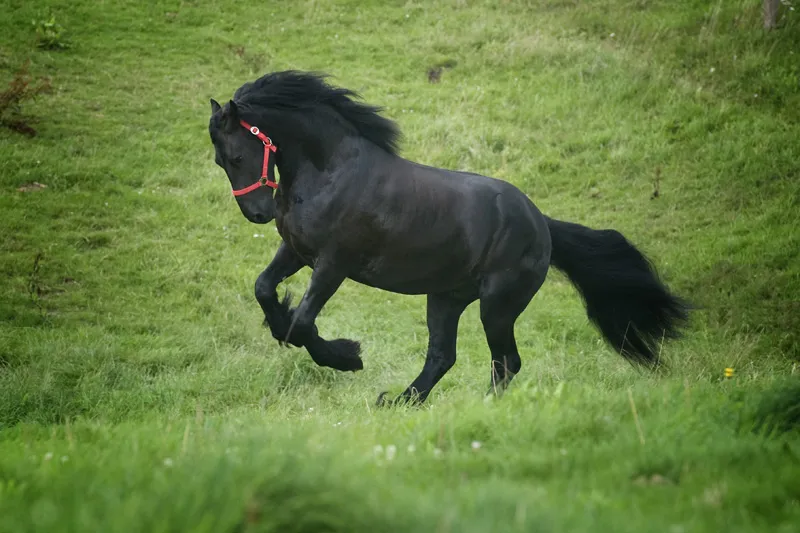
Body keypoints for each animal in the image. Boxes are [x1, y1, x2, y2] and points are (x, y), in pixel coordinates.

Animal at [208, 70, 688, 404]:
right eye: (219, 161)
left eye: (236, 155)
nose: (257, 213)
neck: (332, 170)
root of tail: (541, 223)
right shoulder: (295, 250)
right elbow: (265, 290)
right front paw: (283, 321)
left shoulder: (333, 264)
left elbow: (303, 324)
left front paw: (348, 357)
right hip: (446, 298)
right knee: (443, 356)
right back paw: (399, 402)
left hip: (497, 305)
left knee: (505, 361)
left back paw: (478, 408)